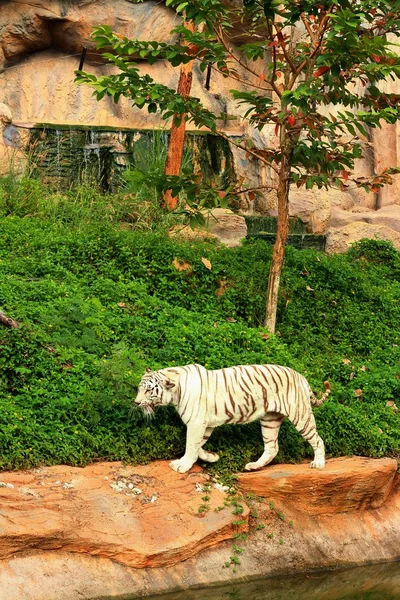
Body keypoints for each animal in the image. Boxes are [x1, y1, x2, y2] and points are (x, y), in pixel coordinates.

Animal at [133, 364, 330, 472]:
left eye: (148, 390)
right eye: (139, 388)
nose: (136, 402)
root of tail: (301, 377)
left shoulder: (196, 422)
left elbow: (190, 445)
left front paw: (183, 465)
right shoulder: (206, 424)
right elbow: (198, 445)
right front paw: (211, 457)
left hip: (300, 414)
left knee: (318, 440)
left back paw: (318, 463)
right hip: (270, 419)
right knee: (272, 447)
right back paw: (254, 466)